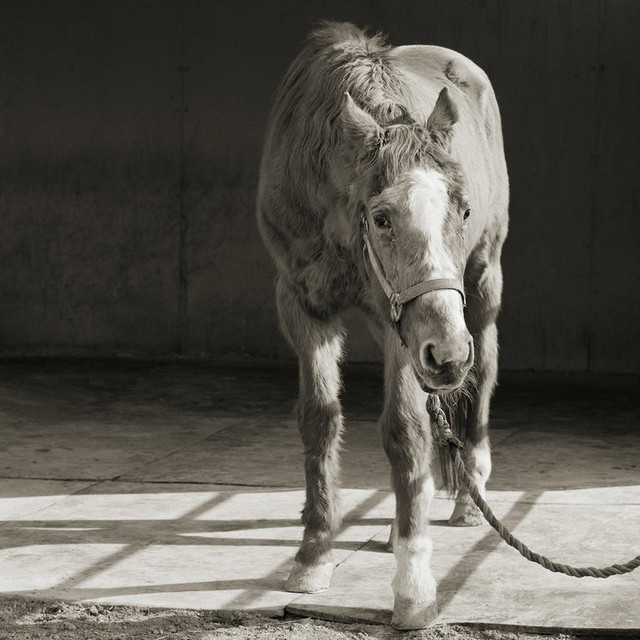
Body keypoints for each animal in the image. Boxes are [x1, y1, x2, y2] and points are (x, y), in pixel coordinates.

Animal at [255, 21, 510, 632]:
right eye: (382, 217)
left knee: (483, 374)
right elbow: (319, 420)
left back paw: (467, 496)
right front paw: (313, 553)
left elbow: (404, 430)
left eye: (463, 210)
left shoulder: (408, 331)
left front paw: (414, 588)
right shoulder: (302, 305)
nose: (449, 354)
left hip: (479, 287)